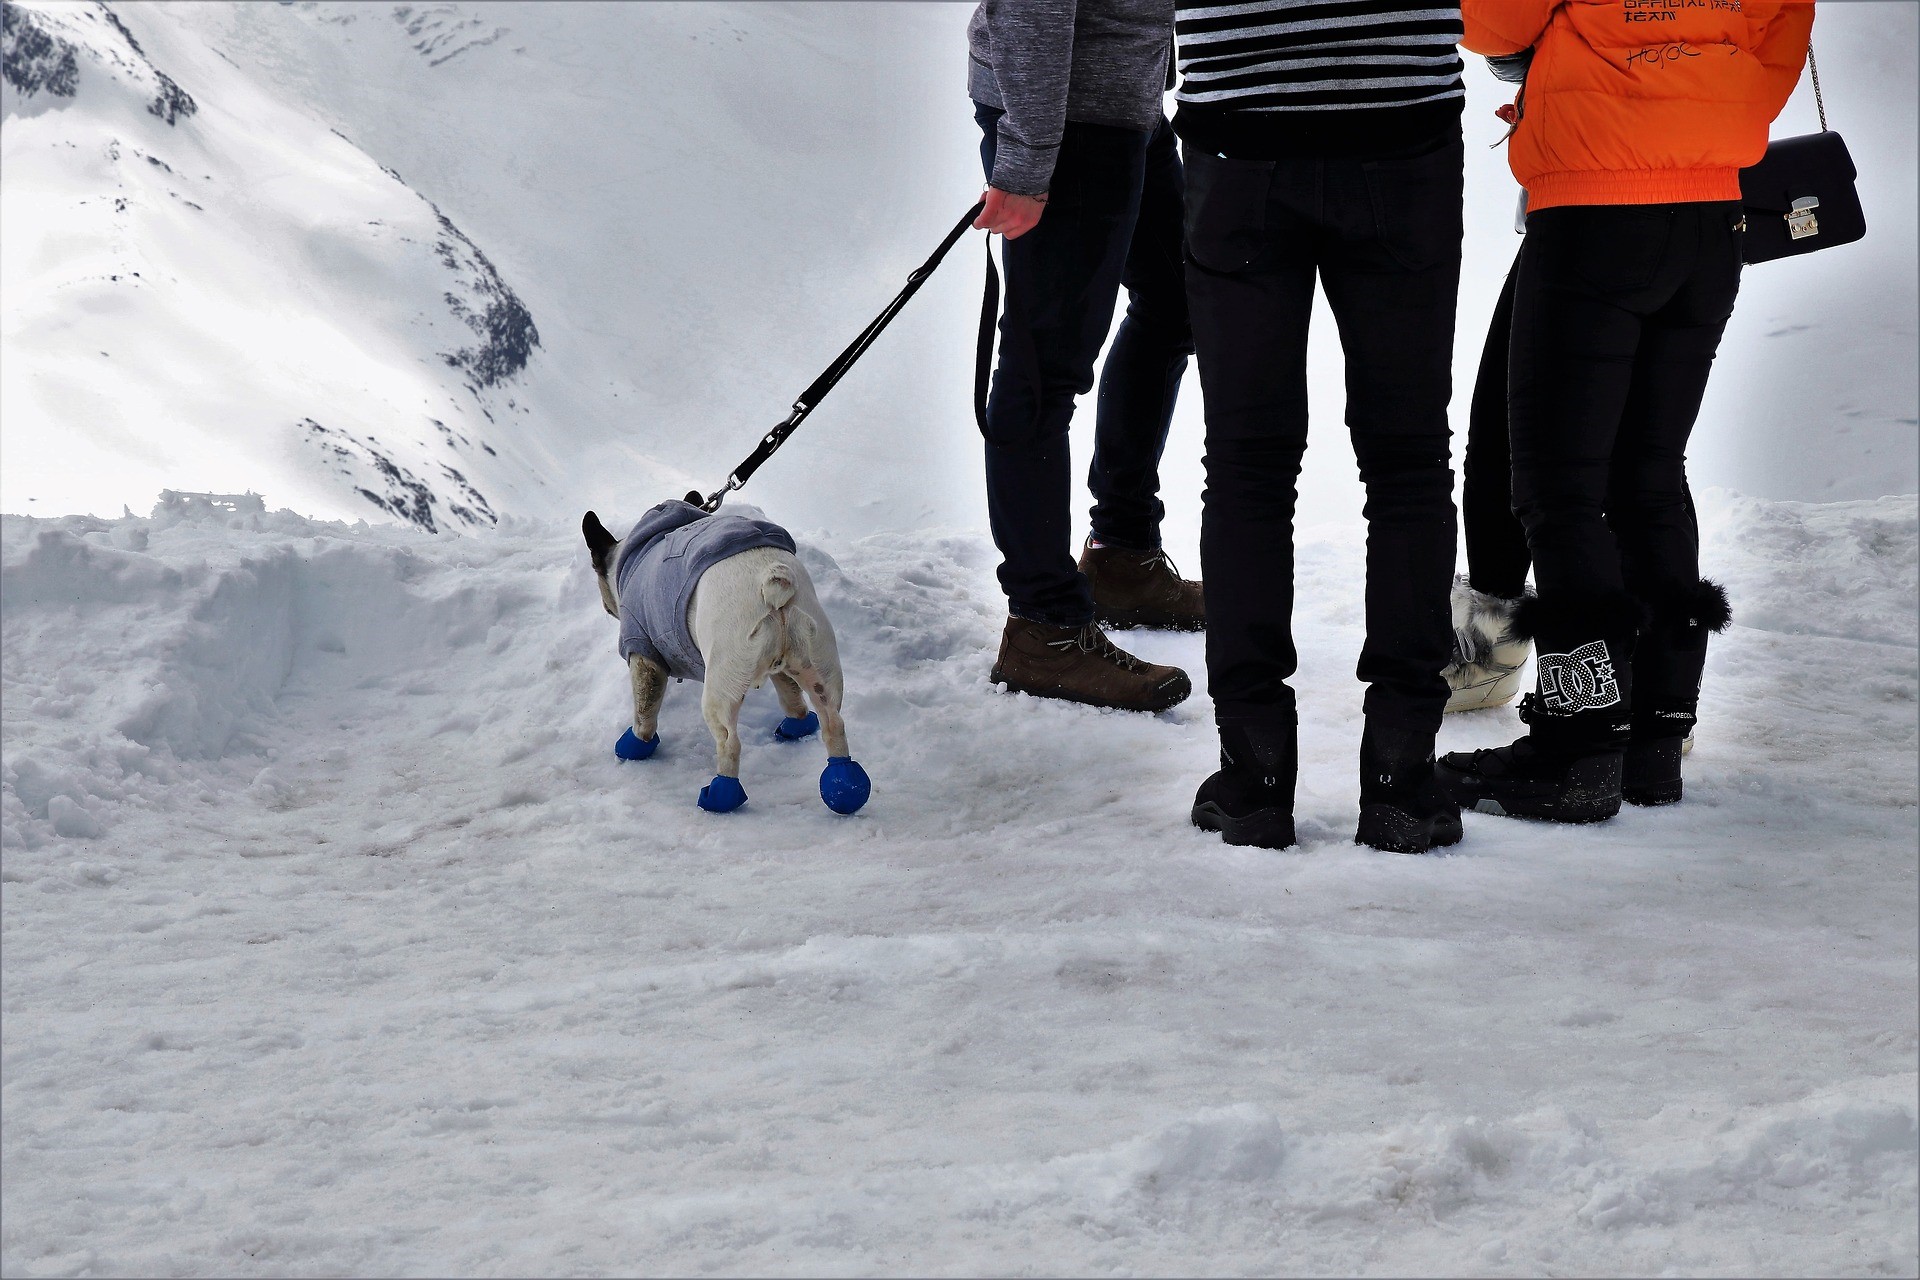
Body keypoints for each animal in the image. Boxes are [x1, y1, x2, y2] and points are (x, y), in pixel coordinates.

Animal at [576, 498, 864, 809]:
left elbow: (645, 711)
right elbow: (790, 695)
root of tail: (772, 578)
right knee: (832, 721)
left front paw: (635, 745)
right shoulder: (780, 668)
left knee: (729, 741)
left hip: (722, 681)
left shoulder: (643, 652)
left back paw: (720, 795)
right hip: (816, 658)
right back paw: (843, 785)